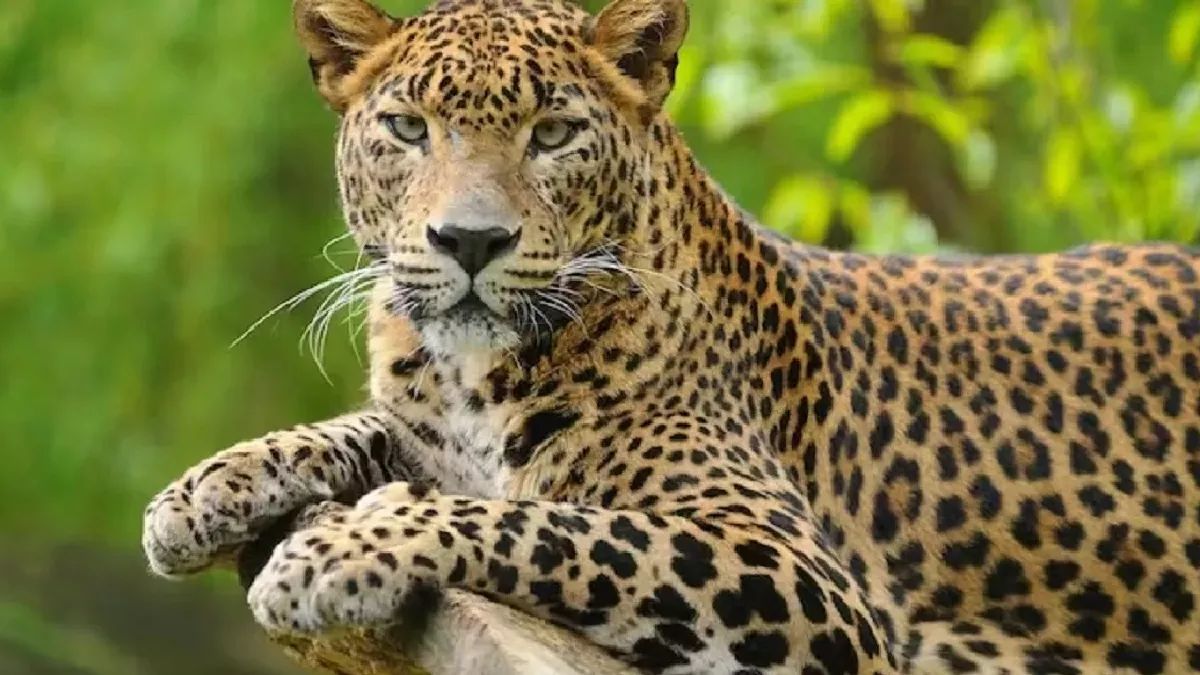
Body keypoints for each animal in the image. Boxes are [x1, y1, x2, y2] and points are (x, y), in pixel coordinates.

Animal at [142, 0, 1200, 672]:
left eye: (553, 134)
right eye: (407, 129)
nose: (471, 240)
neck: (474, 375)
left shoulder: (801, 574)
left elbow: (546, 522)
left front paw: (337, 552)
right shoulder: (422, 426)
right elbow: (362, 431)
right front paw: (202, 491)